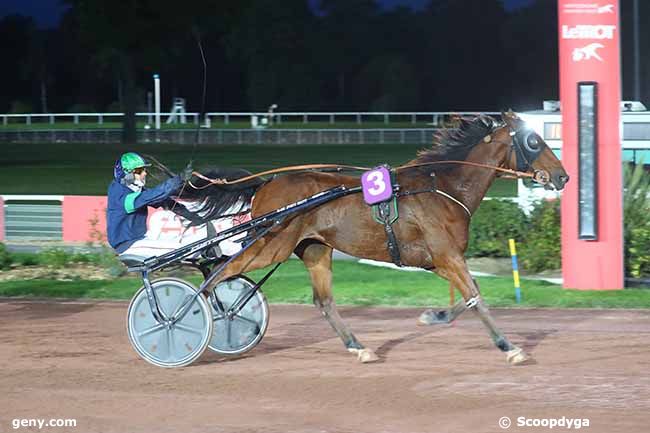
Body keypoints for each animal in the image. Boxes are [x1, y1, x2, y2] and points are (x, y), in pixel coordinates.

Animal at [172, 110, 568, 364]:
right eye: (534, 140)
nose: (562, 176)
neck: (442, 187)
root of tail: (266, 183)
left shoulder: (438, 259)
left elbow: (469, 295)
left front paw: (434, 316)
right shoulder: (447, 255)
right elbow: (476, 296)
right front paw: (509, 346)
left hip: (314, 249)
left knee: (323, 301)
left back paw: (358, 346)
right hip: (271, 245)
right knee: (220, 272)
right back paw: (181, 315)